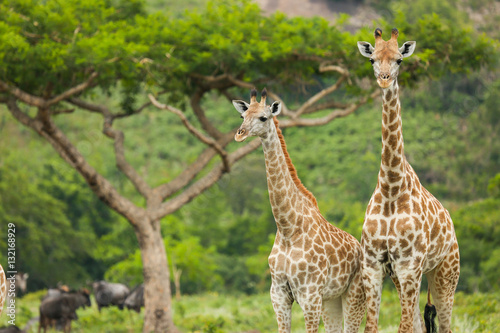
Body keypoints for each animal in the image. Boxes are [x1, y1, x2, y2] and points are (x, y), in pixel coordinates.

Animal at [232, 89, 366, 332]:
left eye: (263, 118)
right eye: (242, 116)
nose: (240, 134)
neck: (287, 227)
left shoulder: (309, 295)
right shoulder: (278, 293)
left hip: (355, 293)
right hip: (331, 299)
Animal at [356, 27, 460, 330]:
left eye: (399, 60)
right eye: (372, 59)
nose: (384, 79)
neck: (391, 186)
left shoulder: (410, 264)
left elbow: (402, 327)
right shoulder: (374, 265)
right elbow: (373, 326)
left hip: (445, 273)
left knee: (445, 325)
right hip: (405, 277)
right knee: (418, 323)